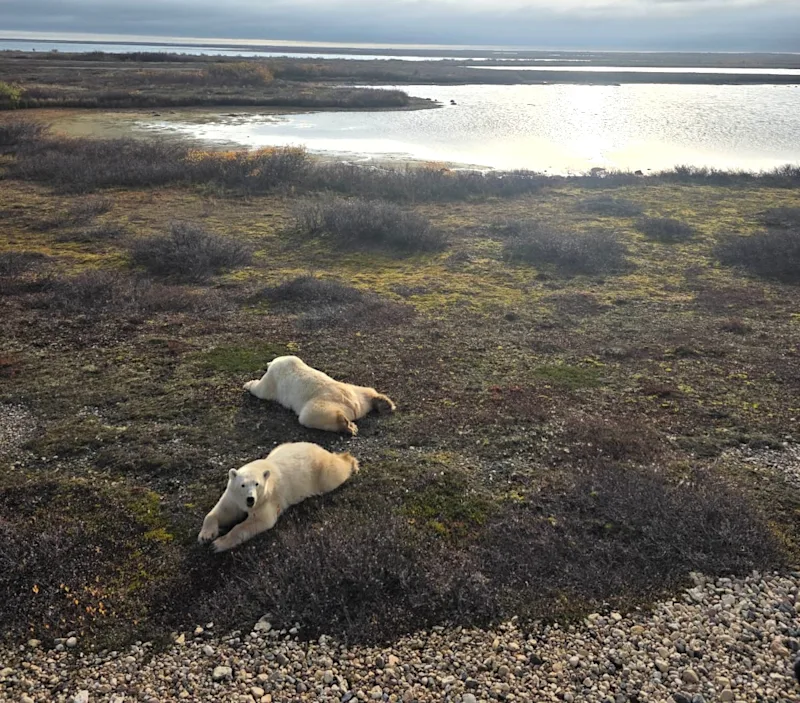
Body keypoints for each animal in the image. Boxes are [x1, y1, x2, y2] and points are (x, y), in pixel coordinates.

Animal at [198, 442, 359, 552]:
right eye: (242, 485)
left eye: (257, 484)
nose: (250, 499)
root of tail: (321, 449)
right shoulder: (233, 497)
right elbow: (222, 511)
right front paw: (206, 536)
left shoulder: (266, 500)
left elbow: (259, 520)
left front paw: (218, 544)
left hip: (321, 473)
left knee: (335, 473)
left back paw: (351, 461)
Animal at [243, 355, 396, 436]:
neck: (284, 361)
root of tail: (353, 405)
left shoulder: (273, 378)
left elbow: (262, 391)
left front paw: (248, 384)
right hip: (354, 391)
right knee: (366, 391)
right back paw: (384, 404)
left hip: (321, 402)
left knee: (309, 415)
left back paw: (346, 425)